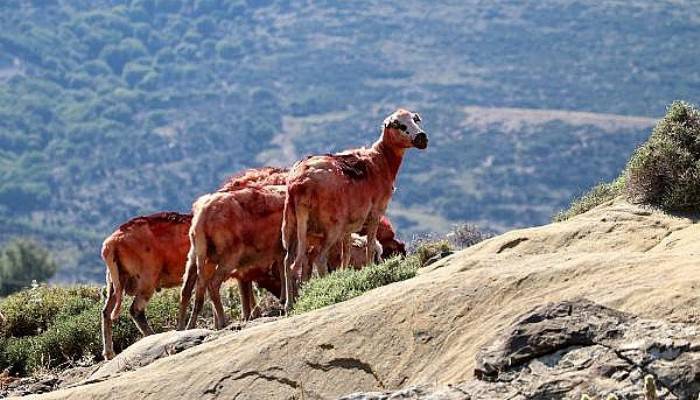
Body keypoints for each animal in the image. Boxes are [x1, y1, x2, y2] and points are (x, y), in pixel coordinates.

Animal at [280, 107, 424, 306]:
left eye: (415, 120)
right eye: (400, 125)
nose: (422, 137)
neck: (381, 160)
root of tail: (298, 184)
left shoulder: (349, 227)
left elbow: (346, 255)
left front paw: (345, 276)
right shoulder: (375, 213)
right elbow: (370, 247)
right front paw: (371, 273)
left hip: (293, 226)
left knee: (288, 262)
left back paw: (289, 305)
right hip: (330, 226)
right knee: (318, 259)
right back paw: (325, 291)